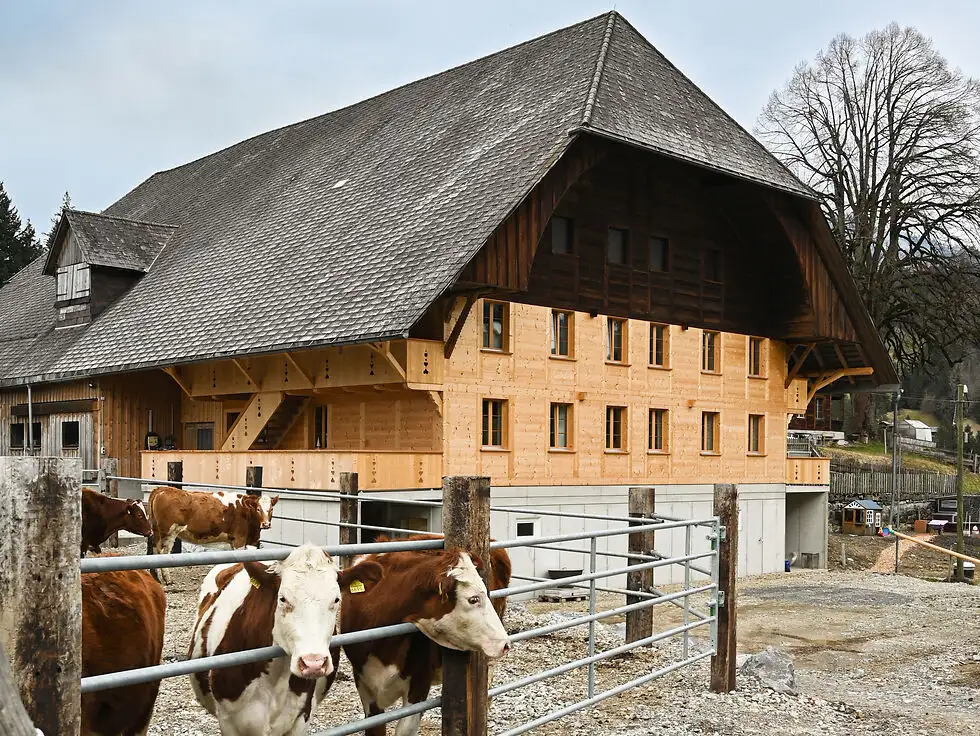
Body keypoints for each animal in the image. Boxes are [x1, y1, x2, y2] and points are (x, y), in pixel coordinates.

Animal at [149, 486, 280, 584]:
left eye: (271, 509)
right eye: (258, 509)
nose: (266, 524)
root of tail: (163, 489)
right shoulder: (239, 540)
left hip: (157, 532)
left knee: (154, 549)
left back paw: (155, 577)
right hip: (168, 533)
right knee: (163, 553)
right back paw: (167, 579)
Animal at [188, 540, 382, 736]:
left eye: (336, 599)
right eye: (282, 599)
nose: (313, 663)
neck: (275, 680)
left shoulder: (301, 717)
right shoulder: (228, 721)